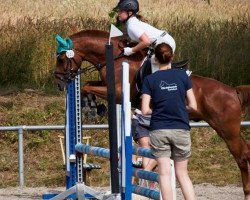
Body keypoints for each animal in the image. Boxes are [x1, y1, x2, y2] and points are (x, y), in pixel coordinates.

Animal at [54, 29, 250, 198]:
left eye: (62, 59)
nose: (59, 83)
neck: (116, 59)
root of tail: (233, 91)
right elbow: (88, 84)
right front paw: (91, 105)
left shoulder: (117, 92)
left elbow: (87, 87)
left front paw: (92, 106)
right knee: (246, 150)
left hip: (227, 130)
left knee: (241, 156)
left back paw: (246, 192)